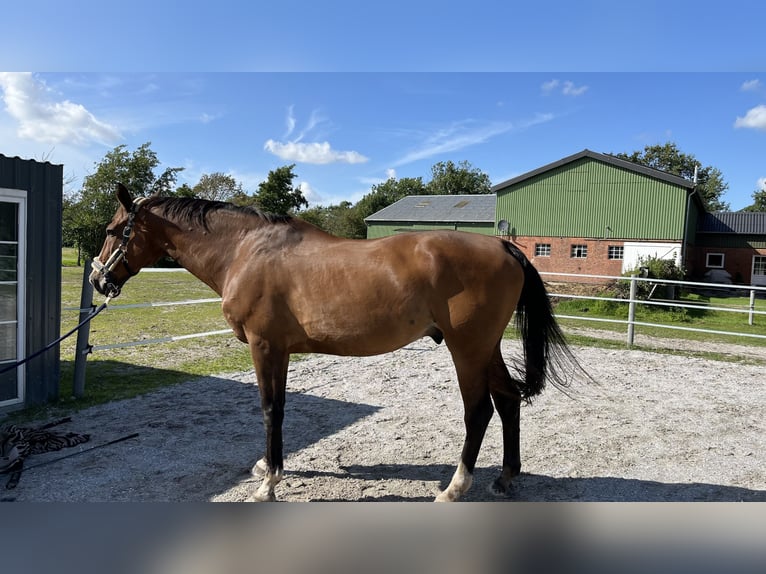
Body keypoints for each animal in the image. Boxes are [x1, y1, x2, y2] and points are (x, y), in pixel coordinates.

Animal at [90, 182, 584, 502]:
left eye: (114, 231)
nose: (97, 280)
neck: (245, 251)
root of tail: (504, 246)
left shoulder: (263, 346)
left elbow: (269, 409)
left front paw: (268, 484)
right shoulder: (280, 351)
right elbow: (280, 408)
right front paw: (269, 468)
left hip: (467, 349)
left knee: (479, 411)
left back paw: (455, 488)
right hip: (486, 348)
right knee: (508, 400)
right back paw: (505, 478)